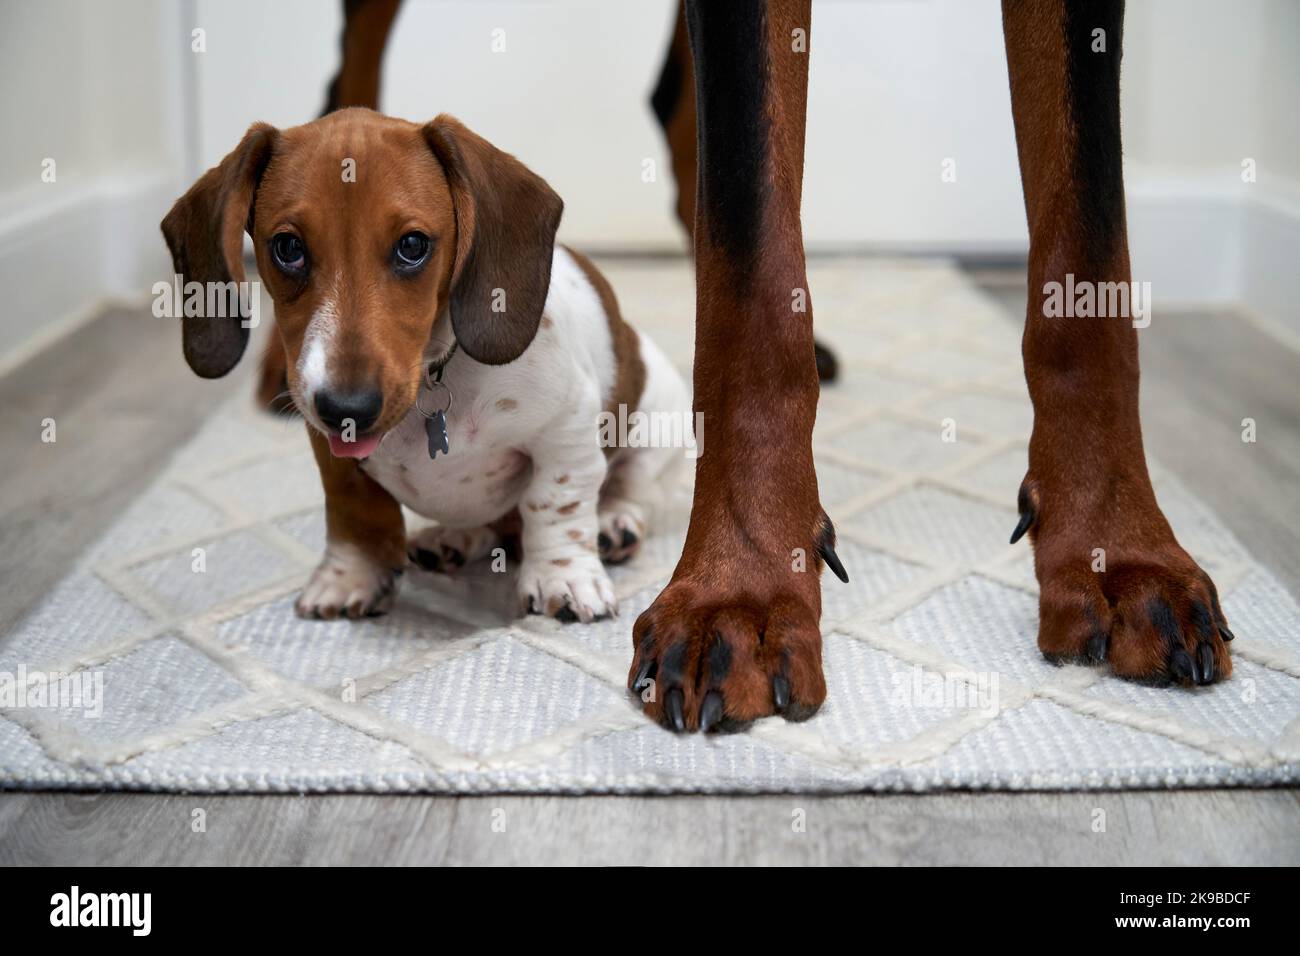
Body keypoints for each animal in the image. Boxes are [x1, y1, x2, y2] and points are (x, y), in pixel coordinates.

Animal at [165, 108, 691, 624]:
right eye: (288, 248)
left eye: (413, 245)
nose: (347, 409)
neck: (434, 378)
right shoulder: (329, 448)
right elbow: (352, 507)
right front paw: (350, 575)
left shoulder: (564, 429)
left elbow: (555, 502)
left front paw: (563, 577)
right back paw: (451, 540)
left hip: (654, 435)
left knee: (627, 487)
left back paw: (613, 524)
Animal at [256, 0, 1237, 738]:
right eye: (286, 248)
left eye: (417, 248)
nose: (342, 395)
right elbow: (752, 261)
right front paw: (747, 590)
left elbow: (1091, 251)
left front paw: (1117, 548)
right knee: (348, 82)